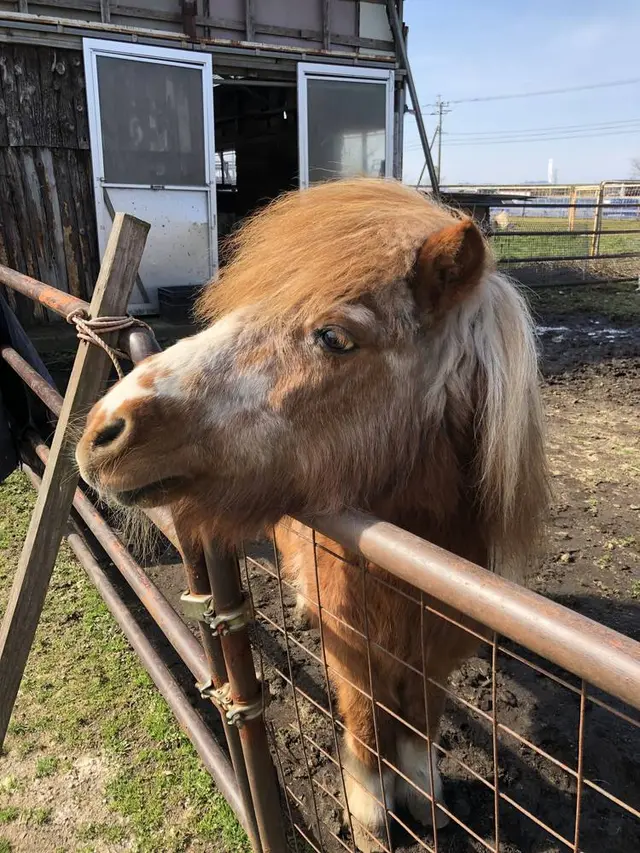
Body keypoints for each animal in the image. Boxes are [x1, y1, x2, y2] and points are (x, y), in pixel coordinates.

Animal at [75, 176, 544, 848]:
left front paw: (424, 793)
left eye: (334, 337)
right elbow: (366, 718)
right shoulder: (352, 644)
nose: (104, 429)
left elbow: (420, 718)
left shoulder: (437, 650)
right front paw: (371, 807)